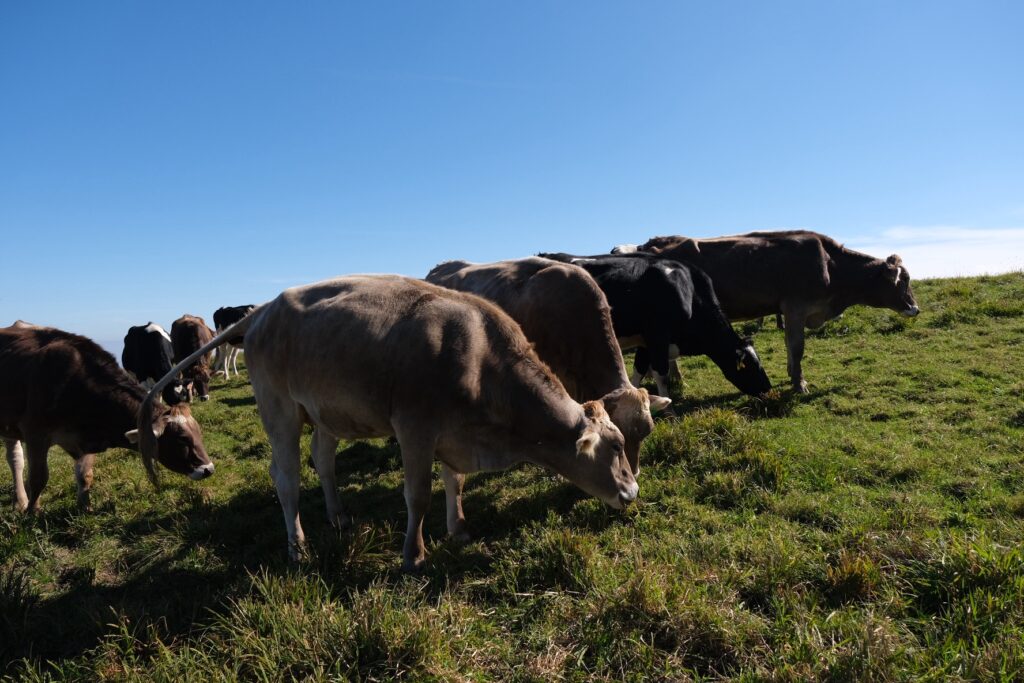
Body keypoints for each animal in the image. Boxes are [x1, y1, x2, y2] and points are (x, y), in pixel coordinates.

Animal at [0, 324, 214, 512]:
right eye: (181, 439)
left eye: (199, 433)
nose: (209, 469)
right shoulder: (35, 434)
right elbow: (38, 479)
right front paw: (32, 512)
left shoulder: (86, 435)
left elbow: (85, 475)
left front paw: (85, 508)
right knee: (16, 461)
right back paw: (21, 502)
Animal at [155, 275, 638, 571]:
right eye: (616, 448)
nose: (633, 491)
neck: (479, 359)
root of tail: (262, 312)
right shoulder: (415, 429)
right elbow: (418, 496)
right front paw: (414, 554)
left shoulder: (454, 434)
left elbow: (455, 482)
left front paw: (459, 529)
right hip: (280, 411)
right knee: (286, 477)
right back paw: (297, 547)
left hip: (324, 413)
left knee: (322, 461)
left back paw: (338, 517)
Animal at [540, 253, 772, 400]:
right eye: (749, 366)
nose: (768, 388)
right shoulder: (657, 335)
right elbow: (662, 374)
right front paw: (668, 409)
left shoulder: (644, 341)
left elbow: (639, 370)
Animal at [616, 230, 920, 392]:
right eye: (904, 280)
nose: (915, 309)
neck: (830, 266)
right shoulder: (796, 308)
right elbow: (797, 347)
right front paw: (799, 384)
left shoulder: (788, 310)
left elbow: (789, 346)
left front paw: (791, 374)